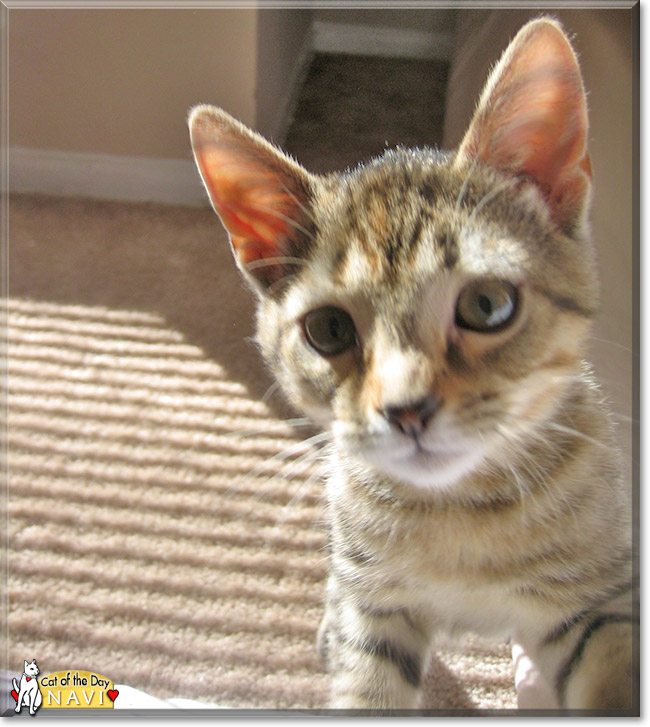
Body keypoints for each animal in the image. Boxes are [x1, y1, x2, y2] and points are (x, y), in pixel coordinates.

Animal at [187, 19, 632, 712]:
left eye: (487, 305)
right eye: (328, 329)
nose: (406, 411)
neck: (461, 510)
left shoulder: (597, 601)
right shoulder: (375, 613)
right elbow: (366, 680)